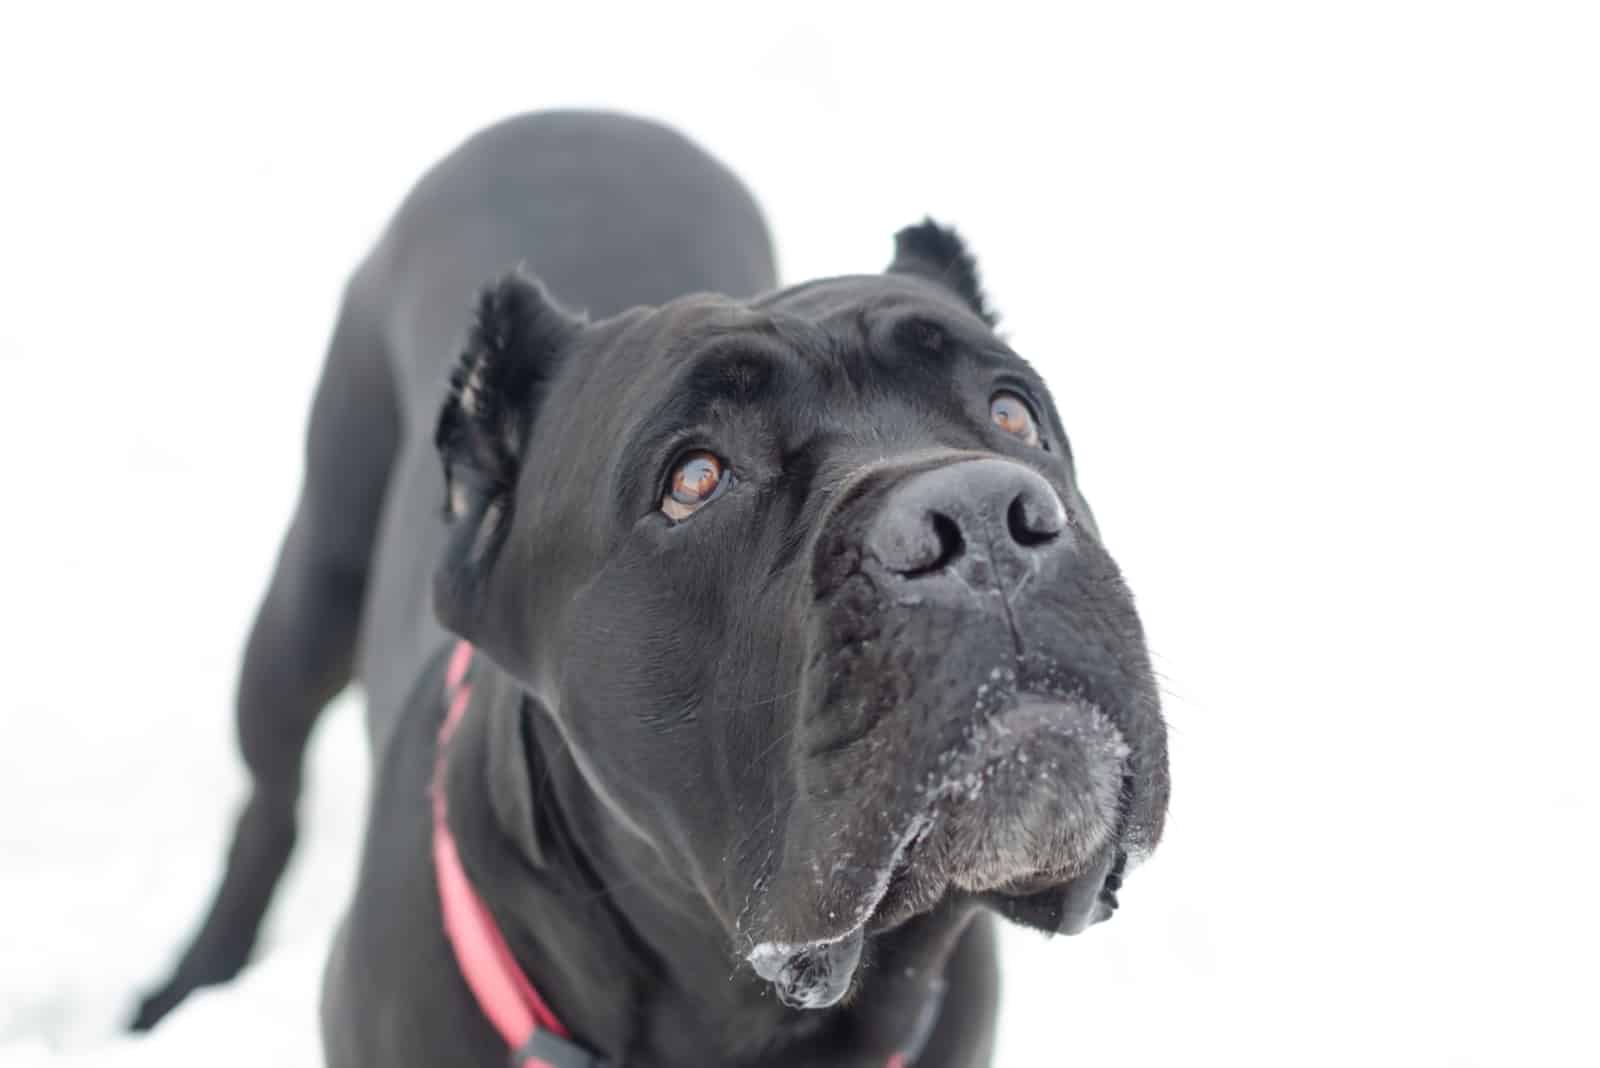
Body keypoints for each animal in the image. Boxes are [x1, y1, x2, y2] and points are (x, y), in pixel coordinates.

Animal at [134, 110, 1164, 1068]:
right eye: (694, 478)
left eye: (1013, 412)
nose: (983, 519)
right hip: (309, 592)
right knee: (268, 801)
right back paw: (188, 982)